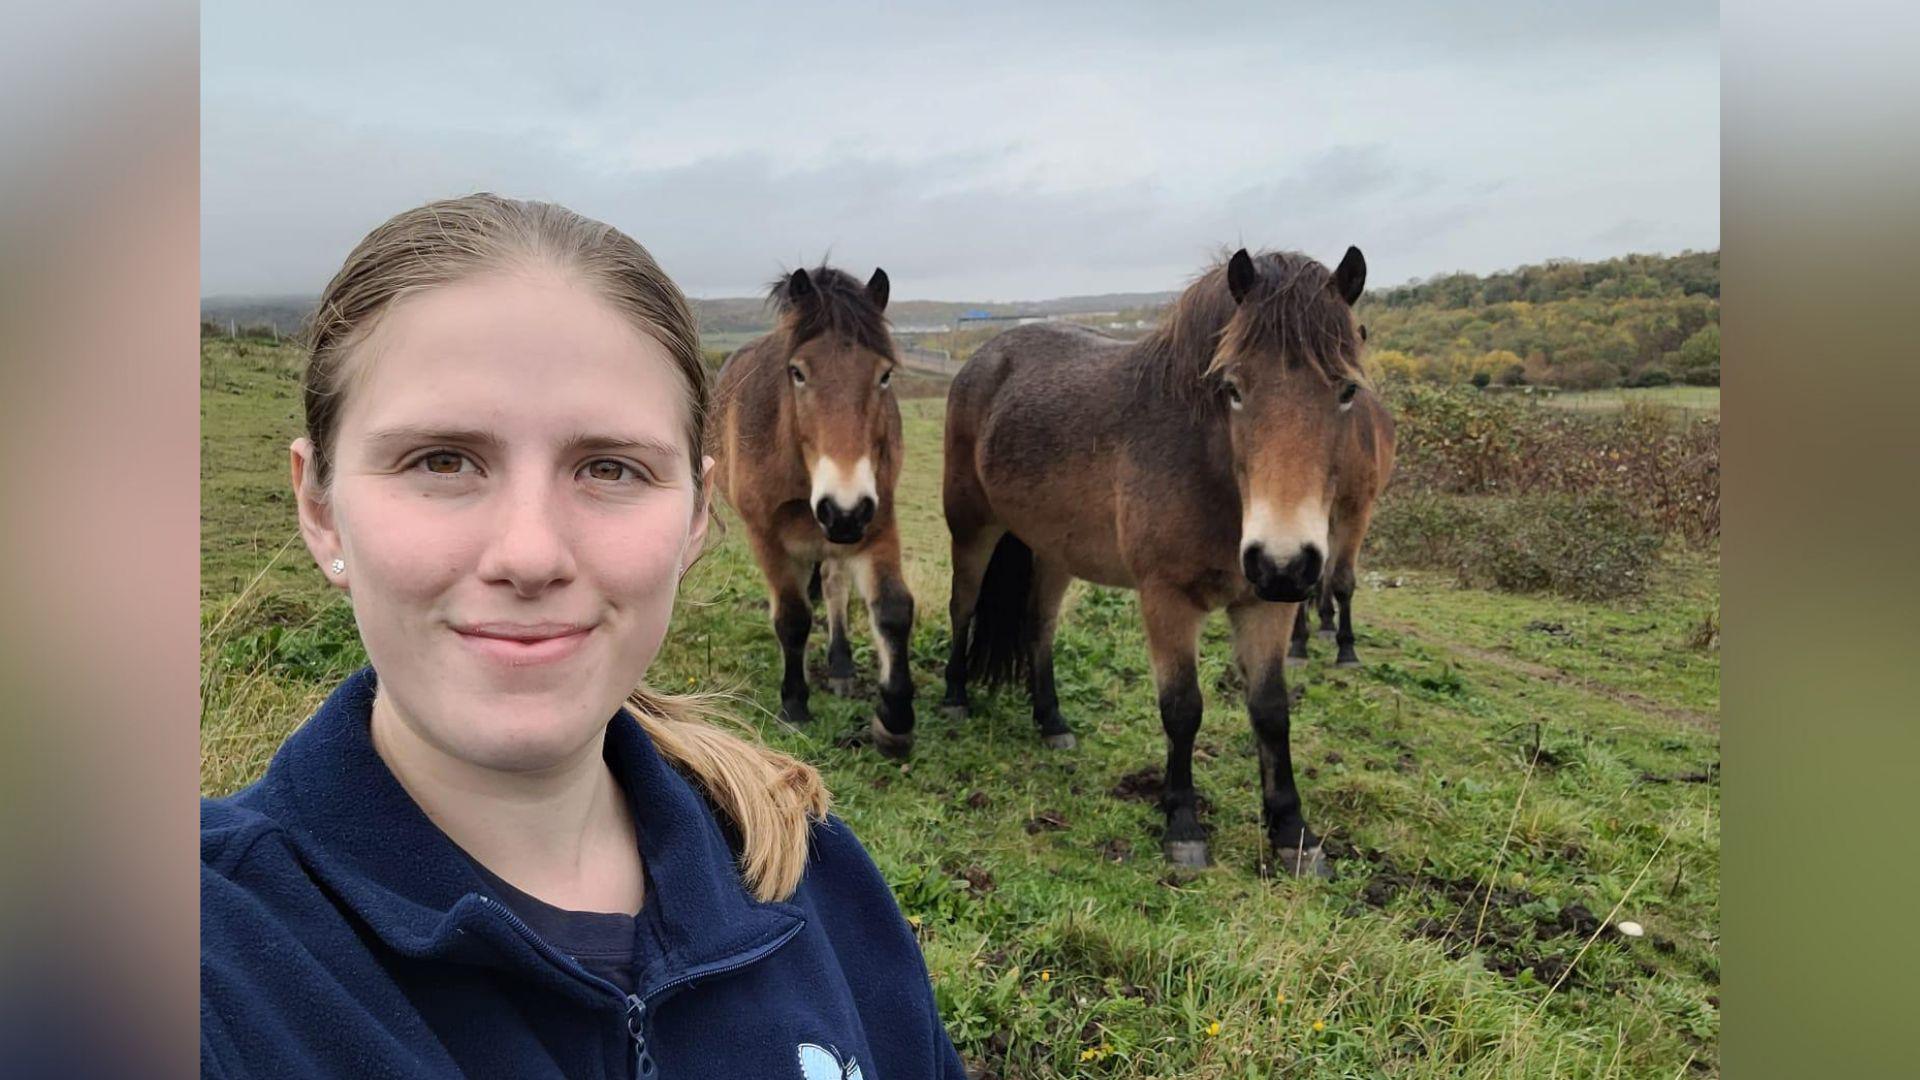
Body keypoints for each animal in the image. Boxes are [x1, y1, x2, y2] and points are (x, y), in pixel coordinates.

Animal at [711, 264, 917, 758]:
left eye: (884, 375)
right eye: (798, 373)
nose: (844, 510)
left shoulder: (877, 521)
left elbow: (893, 609)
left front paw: (895, 717)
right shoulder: (765, 534)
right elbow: (792, 617)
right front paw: (794, 704)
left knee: (835, 586)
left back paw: (840, 665)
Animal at [940, 247, 1376, 876]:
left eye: (1345, 391)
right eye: (1233, 388)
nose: (1284, 561)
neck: (1205, 465)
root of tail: (982, 359)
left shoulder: (1265, 604)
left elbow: (1271, 711)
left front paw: (1293, 833)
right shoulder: (1166, 598)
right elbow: (1183, 708)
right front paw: (1183, 826)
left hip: (1051, 552)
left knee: (1038, 629)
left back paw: (1052, 723)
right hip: (973, 528)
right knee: (961, 608)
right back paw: (953, 699)